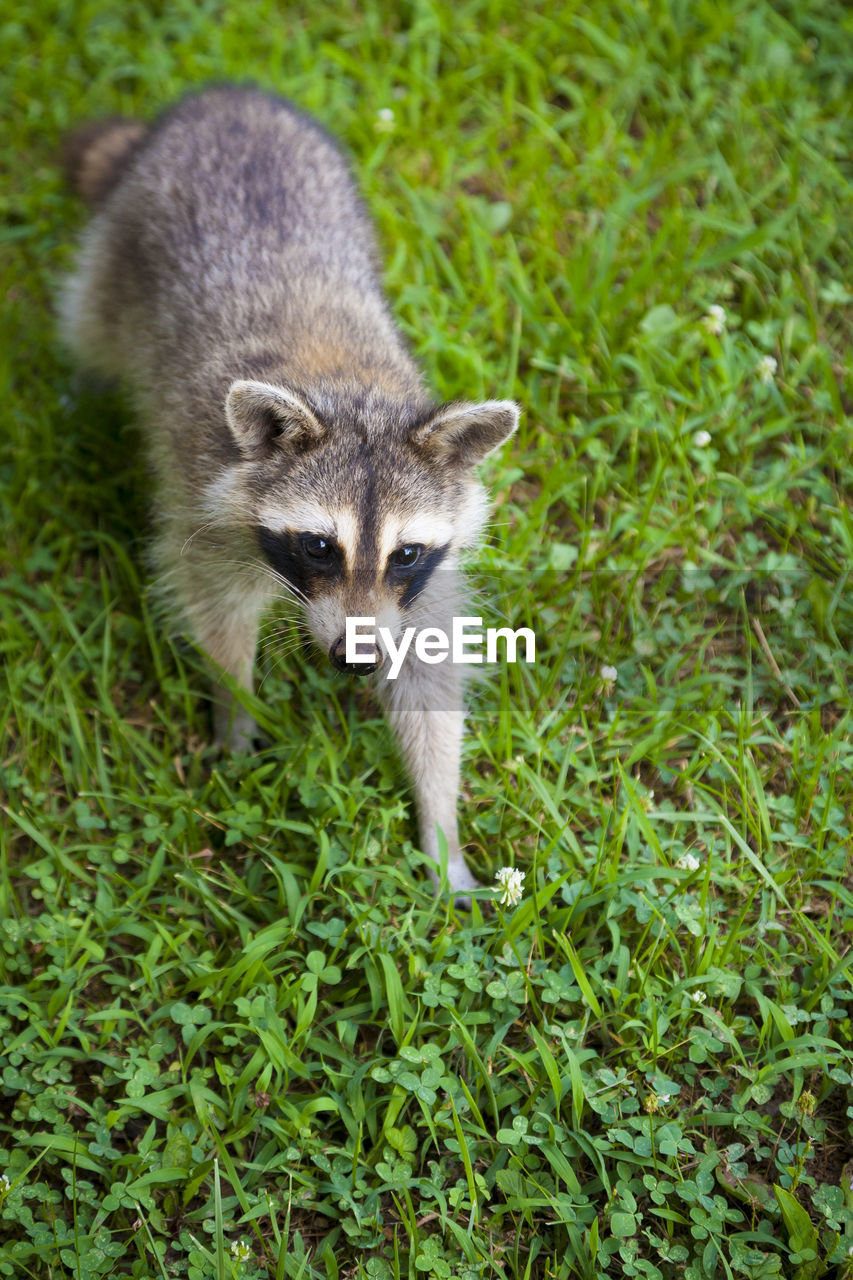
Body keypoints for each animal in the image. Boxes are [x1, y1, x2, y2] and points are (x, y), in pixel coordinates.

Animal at [59, 85, 514, 896]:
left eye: (404, 553)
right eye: (319, 546)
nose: (355, 660)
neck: (351, 396)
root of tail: (227, 98)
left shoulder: (429, 575)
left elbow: (429, 666)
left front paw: (441, 828)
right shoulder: (205, 501)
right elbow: (215, 612)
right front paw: (234, 708)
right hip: (119, 249)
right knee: (89, 321)